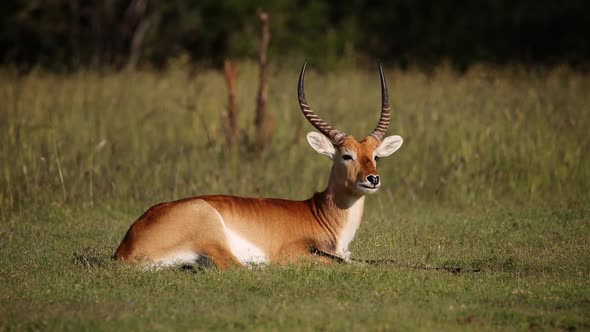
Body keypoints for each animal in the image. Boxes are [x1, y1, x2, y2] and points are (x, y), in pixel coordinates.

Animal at [114, 61, 404, 270]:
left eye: (375, 156)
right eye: (346, 155)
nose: (372, 179)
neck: (320, 214)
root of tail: (126, 247)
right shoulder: (294, 253)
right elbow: (348, 264)